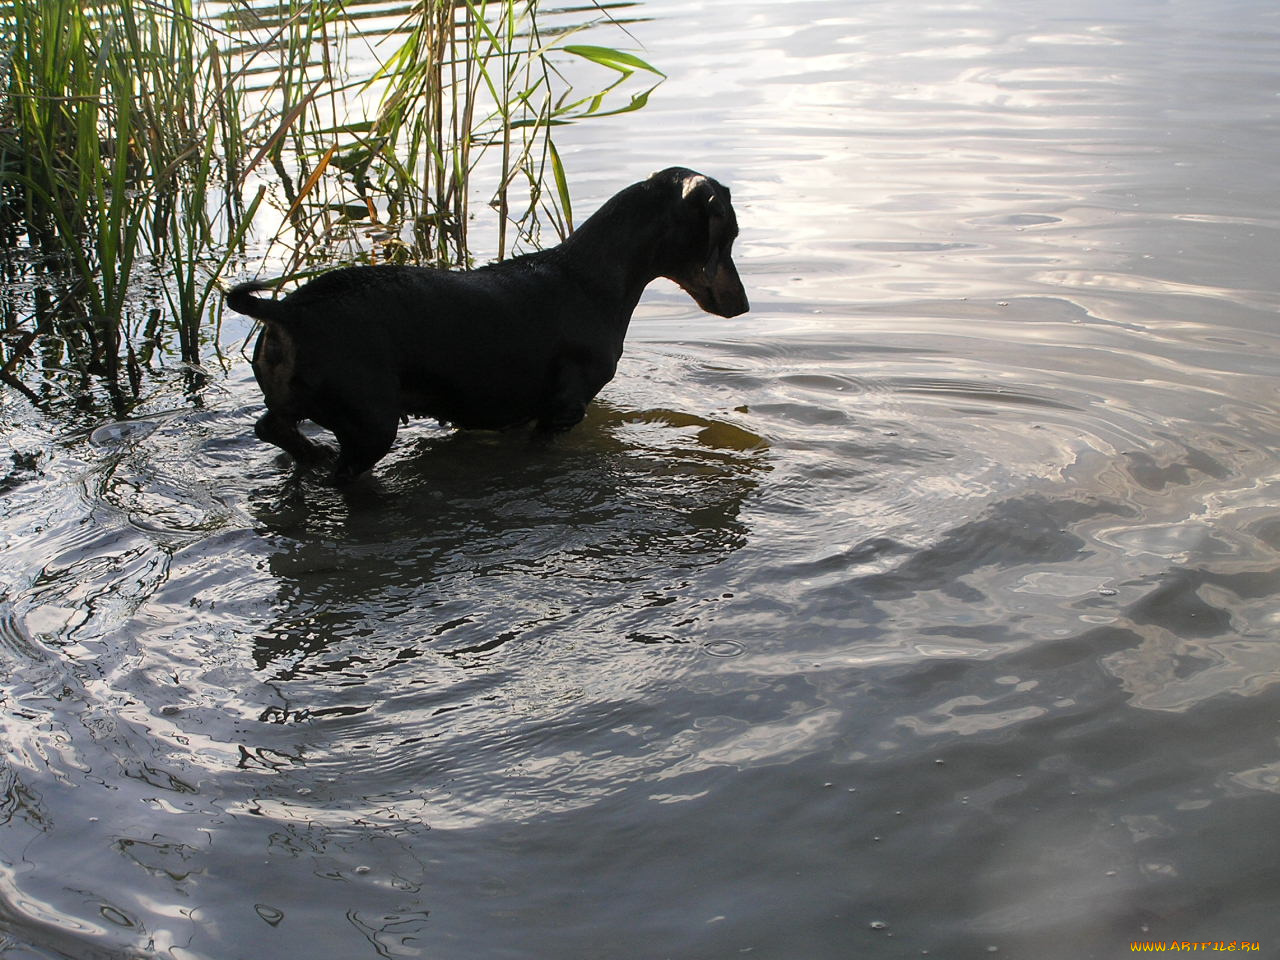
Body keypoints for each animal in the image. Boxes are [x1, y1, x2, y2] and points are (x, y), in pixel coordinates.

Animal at [227, 167, 747, 481]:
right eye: (728, 234)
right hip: (371, 424)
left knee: (273, 428)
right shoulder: (561, 412)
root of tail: (289, 311)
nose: (742, 306)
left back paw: (311, 457)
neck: (589, 278)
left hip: (301, 402)